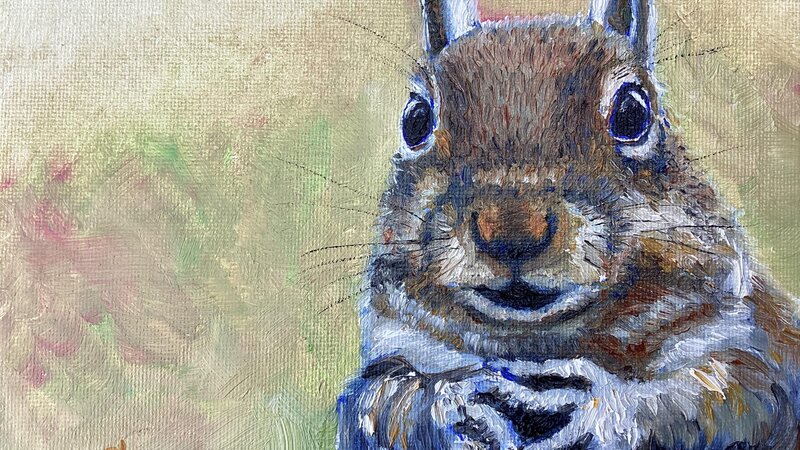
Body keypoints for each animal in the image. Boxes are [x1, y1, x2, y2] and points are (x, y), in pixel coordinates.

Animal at [336, 0, 800, 448]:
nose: (512, 231)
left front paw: (598, 407)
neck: (536, 345)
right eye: (414, 120)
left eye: (633, 112)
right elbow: (387, 403)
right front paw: (449, 400)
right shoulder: (392, 357)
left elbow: (704, 399)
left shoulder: (751, 352)